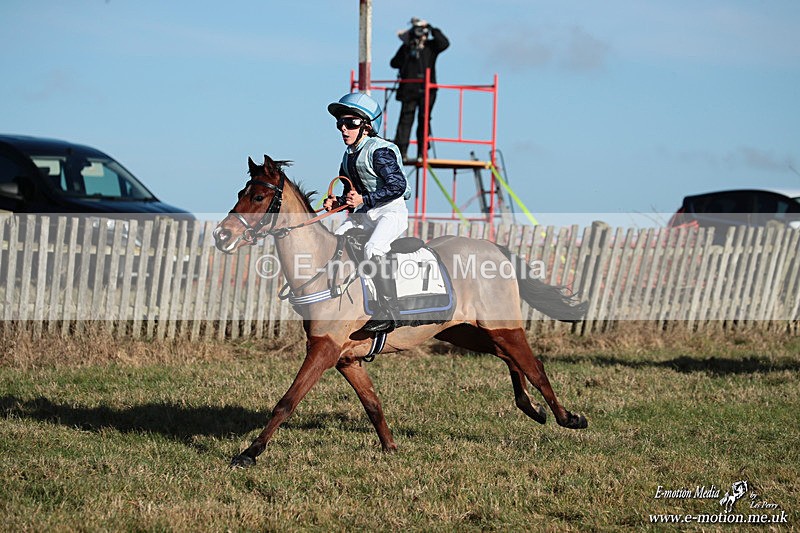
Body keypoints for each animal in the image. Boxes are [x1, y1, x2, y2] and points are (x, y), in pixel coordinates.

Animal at [213, 155, 588, 468]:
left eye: (258, 198)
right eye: (241, 192)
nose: (221, 235)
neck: (321, 268)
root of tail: (494, 248)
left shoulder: (324, 349)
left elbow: (287, 401)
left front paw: (249, 453)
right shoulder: (346, 358)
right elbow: (372, 403)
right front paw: (391, 447)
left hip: (501, 326)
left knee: (534, 365)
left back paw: (568, 417)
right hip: (464, 332)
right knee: (509, 358)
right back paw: (532, 408)